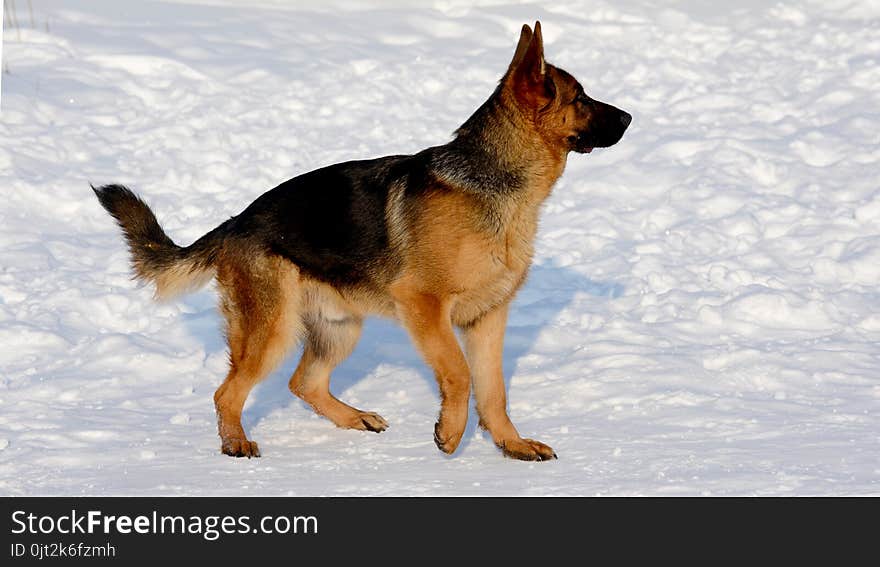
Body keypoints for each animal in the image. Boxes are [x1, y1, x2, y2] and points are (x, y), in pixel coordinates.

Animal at [94, 21, 632, 462]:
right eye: (581, 98)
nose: (630, 118)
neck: (495, 183)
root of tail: (235, 222)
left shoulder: (487, 318)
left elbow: (494, 389)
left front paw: (510, 444)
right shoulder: (424, 306)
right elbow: (459, 374)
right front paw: (450, 433)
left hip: (340, 328)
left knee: (303, 382)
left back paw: (353, 418)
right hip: (273, 330)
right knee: (227, 392)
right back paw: (236, 444)